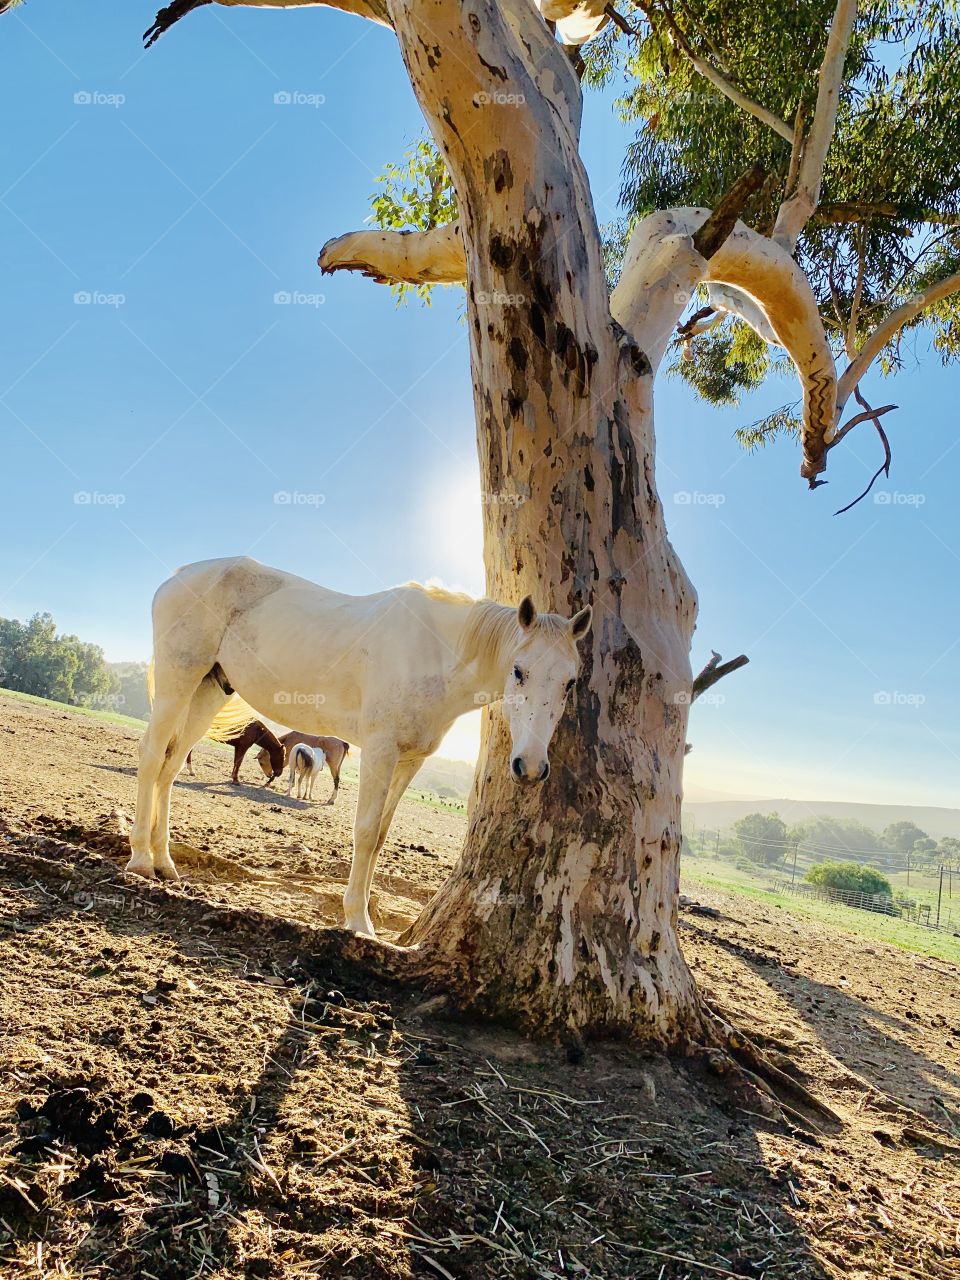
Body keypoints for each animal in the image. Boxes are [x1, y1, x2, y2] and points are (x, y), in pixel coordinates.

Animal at [126, 556, 592, 937]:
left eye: (570, 682)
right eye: (519, 670)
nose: (530, 767)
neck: (434, 652)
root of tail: (180, 574)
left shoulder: (409, 761)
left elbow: (382, 836)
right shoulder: (380, 751)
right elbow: (365, 833)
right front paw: (357, 921)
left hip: (209, 690)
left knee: (170, 767)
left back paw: (165, 862)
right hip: (178, 682)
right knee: (150, 759)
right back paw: (140, 860)